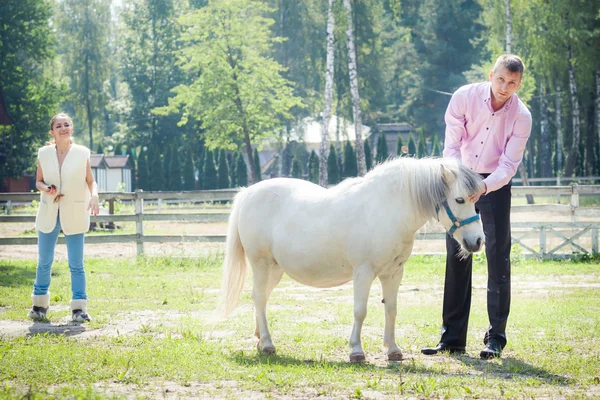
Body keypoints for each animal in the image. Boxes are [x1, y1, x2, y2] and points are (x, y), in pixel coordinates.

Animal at [223, 157, 486, 362]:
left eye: (477, 200)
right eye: (460, 199)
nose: (478, 241)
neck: (386, 209)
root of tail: (248, 193)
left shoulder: (393, 272)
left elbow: (391, 309)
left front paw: (393, 349)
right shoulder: (363, 272)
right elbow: (360, 311)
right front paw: (356, 351)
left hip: (275, 269)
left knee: (262, 298)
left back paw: (260, 339)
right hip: (261, 263)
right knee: (259, 298)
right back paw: (268, 344)